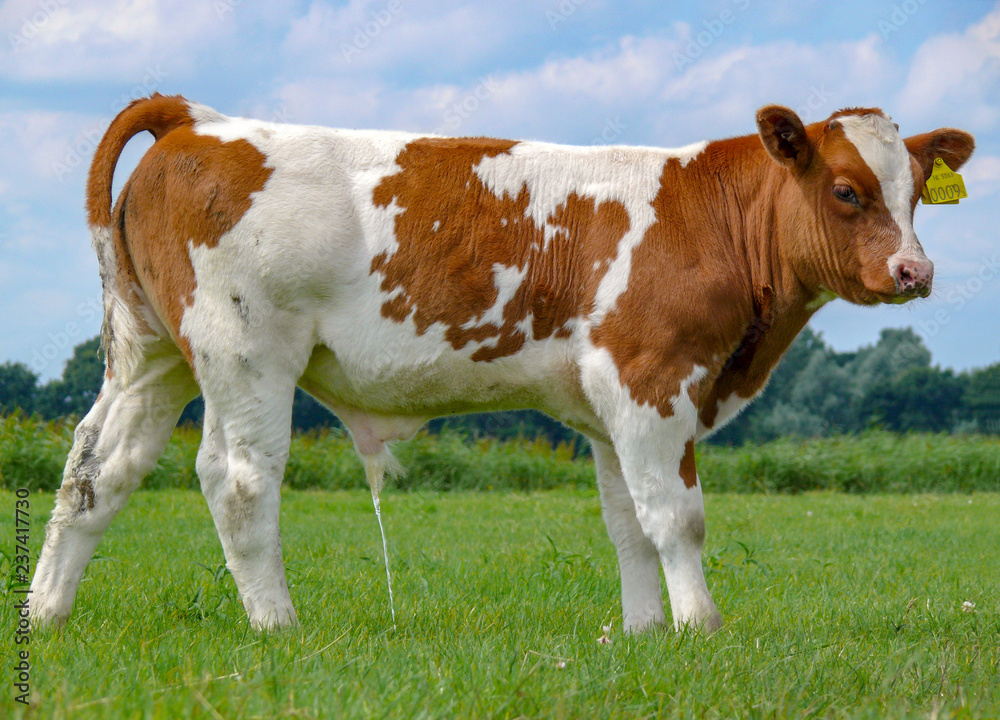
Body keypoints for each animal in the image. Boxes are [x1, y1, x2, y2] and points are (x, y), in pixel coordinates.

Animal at [27, 95, 972, 632]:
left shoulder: (607, 406)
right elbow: (678, 518)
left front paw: (644, 635)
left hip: (150, 354)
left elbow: (627, 521)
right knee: (238, 480)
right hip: (246, 355)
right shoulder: (652, 380)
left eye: (917, 193)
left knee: (96, 470)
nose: (914, 271)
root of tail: (198, 120)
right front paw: (700, 627)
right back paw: (276, 626)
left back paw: (46, 613)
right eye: (847, 190)